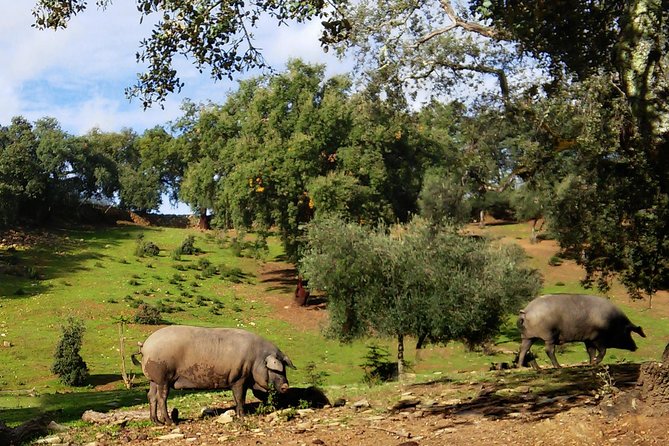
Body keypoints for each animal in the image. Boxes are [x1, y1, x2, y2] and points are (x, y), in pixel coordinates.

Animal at [132, 324, 294, 426]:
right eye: (276, 369)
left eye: (284, 369)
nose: (286, 386)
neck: (256, 359)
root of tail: (145, 346)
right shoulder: (238, 378)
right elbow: (239, 398)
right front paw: (243, 416)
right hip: (163, 377)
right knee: (161, 398)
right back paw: (170, 422)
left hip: (153, 380)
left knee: (151, 396)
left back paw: (156, 422)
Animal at [516, 292, 644, 370]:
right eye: (627, 332)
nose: (636, 347)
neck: (613, 322)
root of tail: (526, 311)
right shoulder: (598, 337)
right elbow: (602, 351)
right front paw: (595, 362)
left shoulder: (588, 339)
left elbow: (591, 351)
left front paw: (591, 363)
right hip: (549, 335)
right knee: (548, 350)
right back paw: (558, 367)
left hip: (527, 336)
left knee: (524, 349)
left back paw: (522, 366)